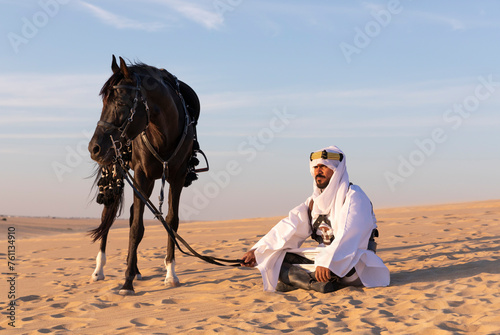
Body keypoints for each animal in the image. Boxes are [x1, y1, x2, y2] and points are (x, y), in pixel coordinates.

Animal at [88, 56, 203, 296]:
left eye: (120, 102)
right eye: (103, 103)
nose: (94, 148)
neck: (163, 135)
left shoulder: (177, 178)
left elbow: (171, 221)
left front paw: (170, 274)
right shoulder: (142, 176)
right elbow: (135, 228)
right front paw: (126, 283)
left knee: (133, 212)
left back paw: (136, 269)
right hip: (116, 175)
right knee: (107, 217)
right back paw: (99, 270)